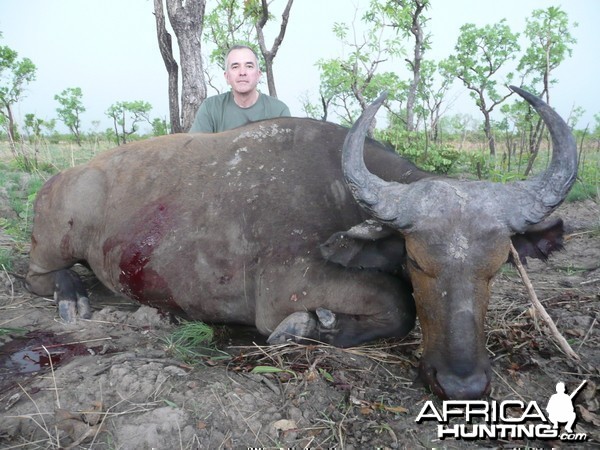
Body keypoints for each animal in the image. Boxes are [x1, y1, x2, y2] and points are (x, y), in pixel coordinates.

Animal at [24, 86, 576, 400]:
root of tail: (63, 179)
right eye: (418, 262)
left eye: (498, 265)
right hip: (56, 244)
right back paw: (72, 297)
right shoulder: (288, 288)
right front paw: (309, 326)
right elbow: (399, 305)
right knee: (37, 277)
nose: (462, 386)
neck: (341, 188)